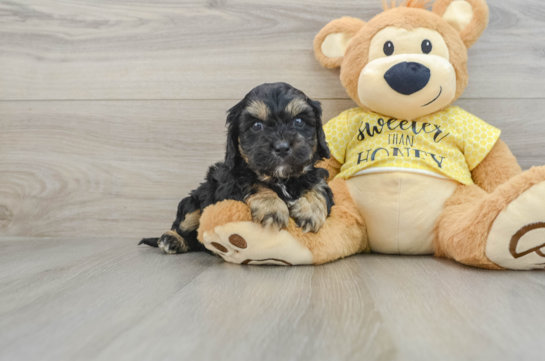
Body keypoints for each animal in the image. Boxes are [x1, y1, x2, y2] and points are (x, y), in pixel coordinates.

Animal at [139, 83, 332, 255]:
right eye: (256, 125)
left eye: (299, 121)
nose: (282, 147)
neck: (280, 178)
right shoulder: (228, 187)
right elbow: (252, 183)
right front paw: (272, 207)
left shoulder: (314, 175)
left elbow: (319, 185)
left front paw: (310, 210)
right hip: (195, 200)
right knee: (185, 226)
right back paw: (171, 239)